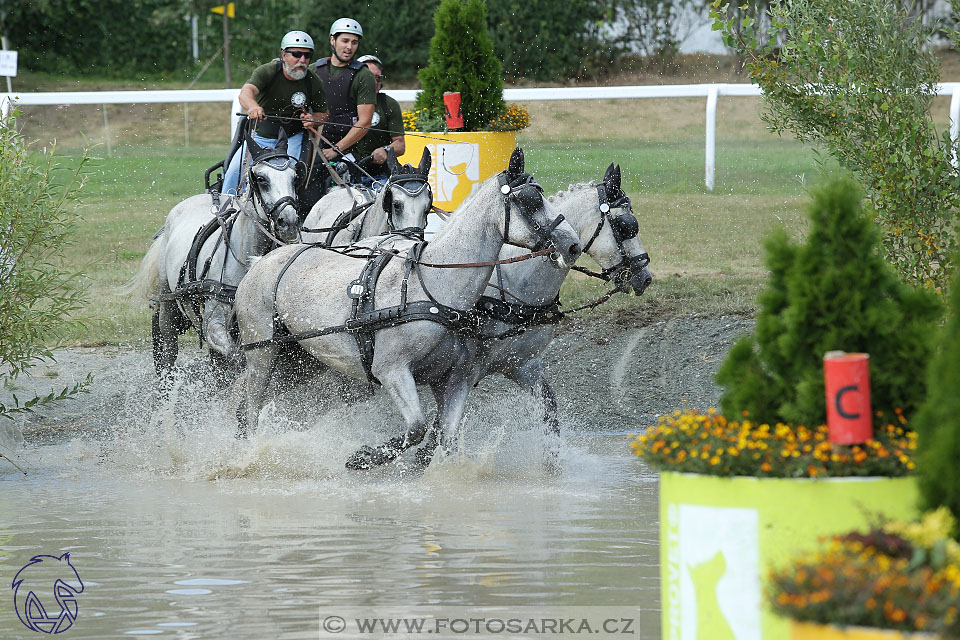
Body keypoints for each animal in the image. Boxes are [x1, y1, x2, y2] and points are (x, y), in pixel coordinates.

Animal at [231, 148, 584, 468]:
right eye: (532, 201)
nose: (573, 245)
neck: (435, 287)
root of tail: (260, 262)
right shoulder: (392, 371)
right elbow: (417, 428)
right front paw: (364, 458)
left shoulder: (455, 378)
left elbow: (445, 437)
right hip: (264, 354)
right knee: (250, 405)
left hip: (299, 361)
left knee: (244, 397)